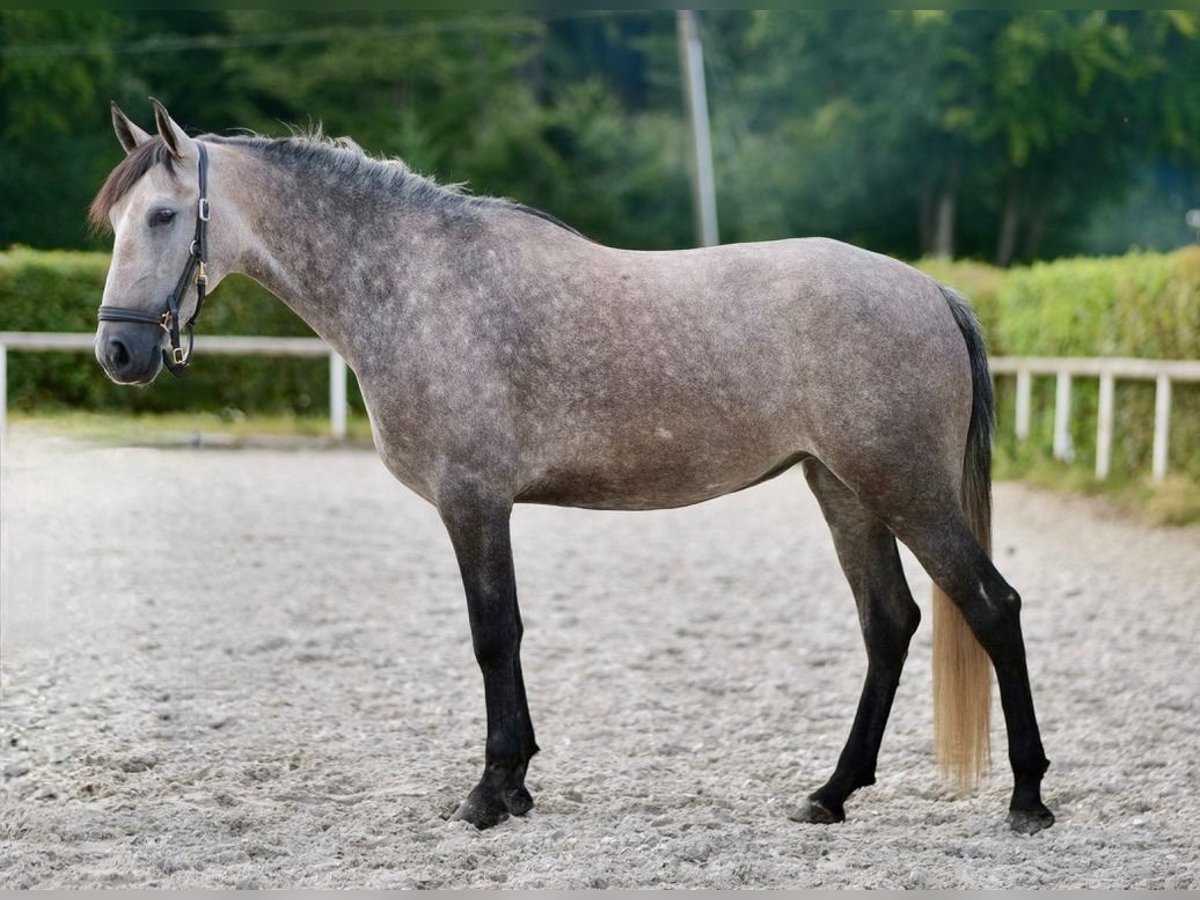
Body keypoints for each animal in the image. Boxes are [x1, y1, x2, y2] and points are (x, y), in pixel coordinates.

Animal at [88, 100, 1056, 840]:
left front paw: (491, 793)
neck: (413, 283)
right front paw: (516, 788)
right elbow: (507, 636)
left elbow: (494, 635)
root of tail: (931, 290)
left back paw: (1027, 799)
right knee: (889, 624)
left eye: (164, 217)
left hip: (905, 490)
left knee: (993, 608)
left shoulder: (473, 501)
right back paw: (831, 794)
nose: (119, 351)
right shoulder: (484, 505)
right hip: (844, 489)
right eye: (117, 224)